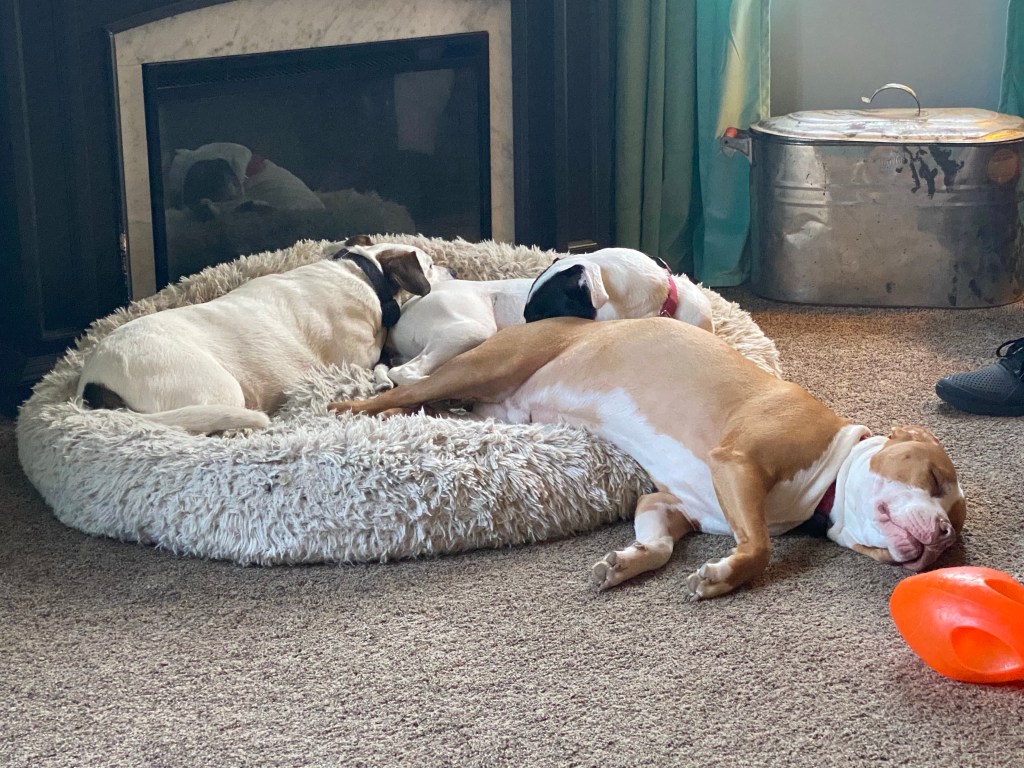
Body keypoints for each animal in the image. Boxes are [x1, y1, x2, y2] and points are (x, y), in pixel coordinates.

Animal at [77, 235, 450, 435]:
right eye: (430, 265)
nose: (452, 269)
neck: (363, 274)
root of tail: (95, 381)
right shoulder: (357, 360)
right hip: (218, 390)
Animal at [329, 317, 966, 599]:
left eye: (956, 534)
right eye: (934, 477)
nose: (939, 538)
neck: (828, 478)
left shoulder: (668, 504)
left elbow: (658, 545)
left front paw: (626, 562)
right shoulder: (737, 461)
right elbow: (759, 548)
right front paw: (724, 576)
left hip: (496, 410)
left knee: (429, 407)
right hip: (486, 365)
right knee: (396, 394)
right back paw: (345, 406)